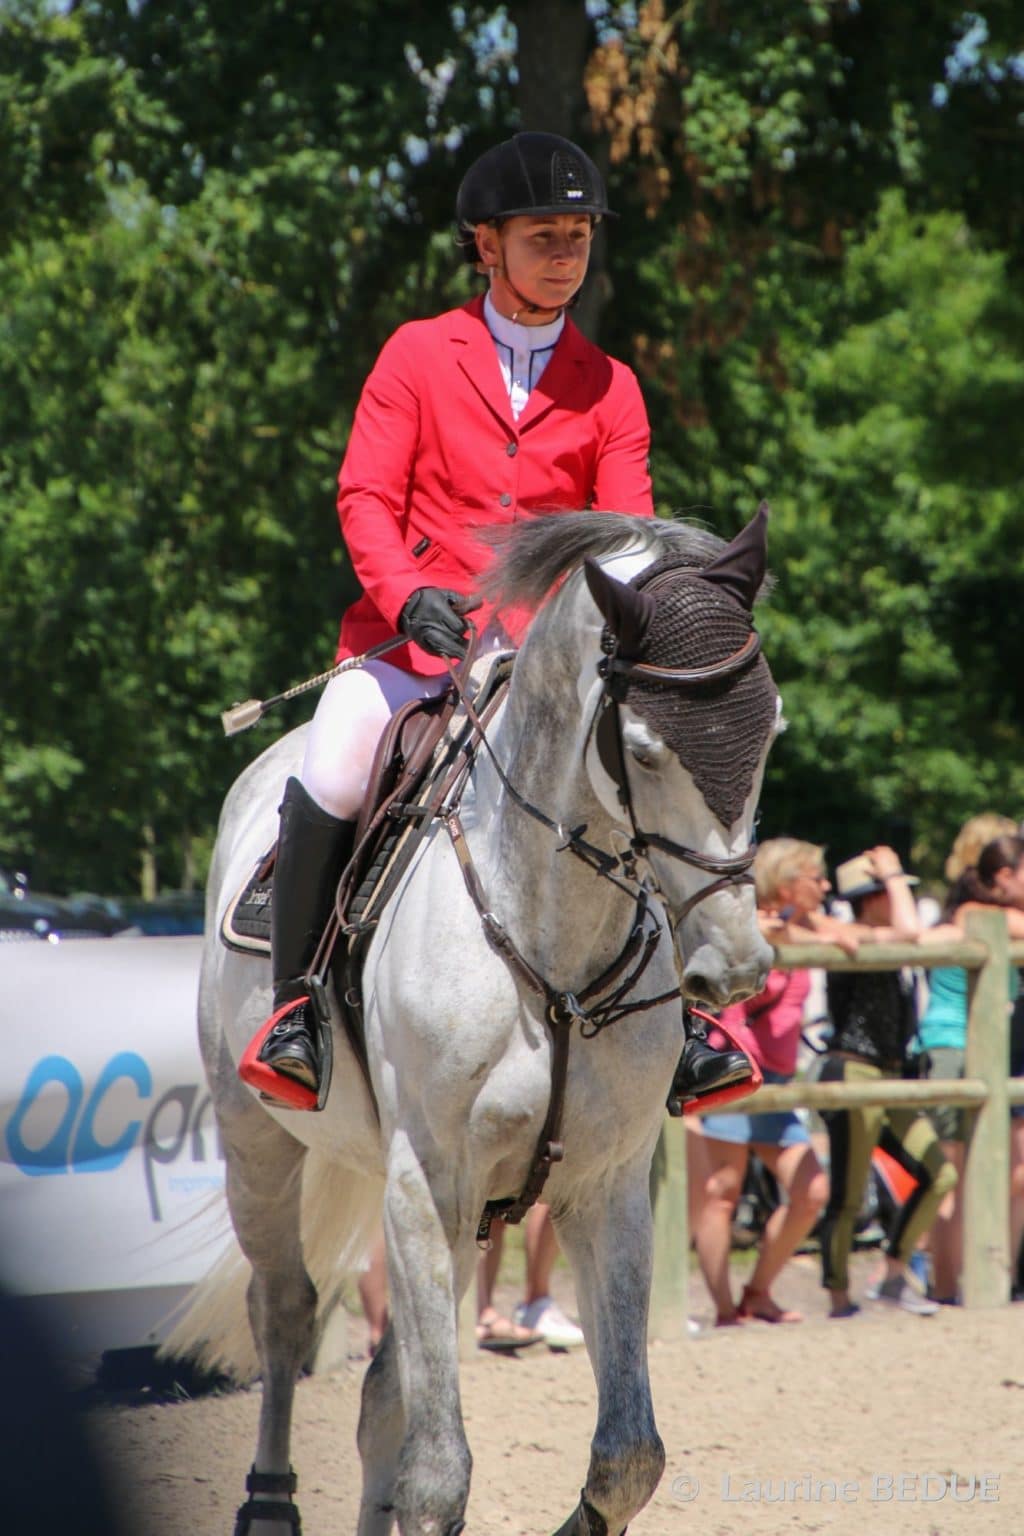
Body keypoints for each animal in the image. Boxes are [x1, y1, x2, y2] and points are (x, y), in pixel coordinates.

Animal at [176, 506, 779, 1536]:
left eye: (770, 729)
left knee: (383, 1393)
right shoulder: (428, 1182)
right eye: (645, 750)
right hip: (261, 1143)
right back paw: (269, 1503)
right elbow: (437, 1474)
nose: (734, 968)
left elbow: (628, 1454)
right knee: (286, 1313)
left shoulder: (604, 1189)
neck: (555, 944)